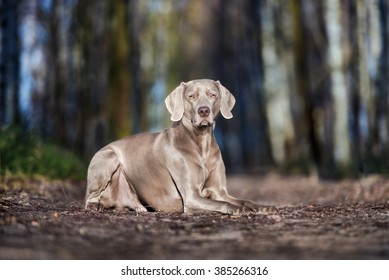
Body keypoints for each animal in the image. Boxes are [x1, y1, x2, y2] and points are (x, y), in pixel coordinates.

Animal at [85, 80, 260, 215]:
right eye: (191, 96)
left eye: (213, 95)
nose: (204, 111)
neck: (201, 142)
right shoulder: (191, 197)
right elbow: (224, 203)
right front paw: (240, 210)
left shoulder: (219, 191)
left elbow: (243, 200)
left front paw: (260, 207)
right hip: (109, 157)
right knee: (89, 197)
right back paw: (96, 205)